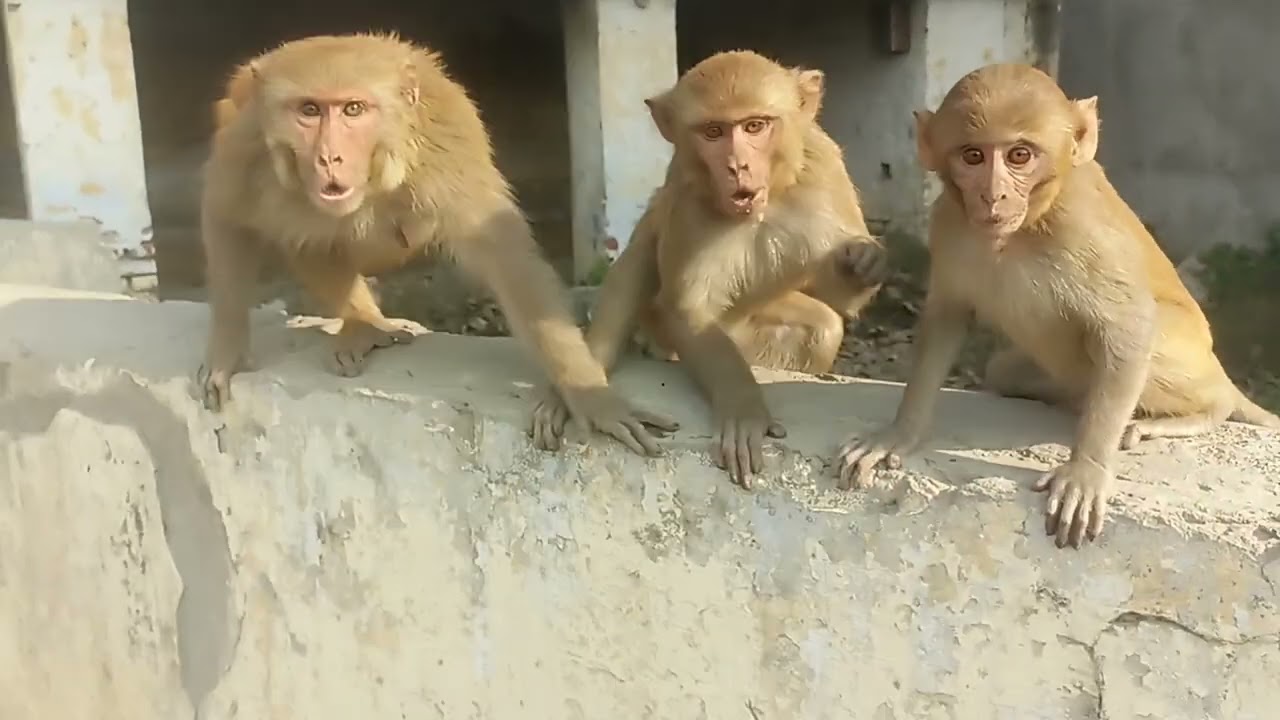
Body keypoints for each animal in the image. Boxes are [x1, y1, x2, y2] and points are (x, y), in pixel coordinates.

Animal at [196, 32, 678, 457]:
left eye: (353, 109)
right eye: (309, 110)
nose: (329, 157)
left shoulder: (443, 155)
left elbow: (508, 262)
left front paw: (589, 394)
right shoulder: (249, 145)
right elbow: (224, 211)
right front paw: (227, 351)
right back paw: (362, 322)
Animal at [529, 50, 890, 488]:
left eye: (755, 126)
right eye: (713, 132)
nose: (737, 166)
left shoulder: (825, 171)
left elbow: (838, 293)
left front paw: (863, 261)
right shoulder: (687, 195)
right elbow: (687, 307)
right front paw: (743, 407)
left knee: (823, 329)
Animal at [835, 63, 1280, 549]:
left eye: (1019, 156)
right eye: (972, 156)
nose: (993, 195)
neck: (1024, 227)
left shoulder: (1083, 227)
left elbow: (1130, 324)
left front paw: (1087, 469)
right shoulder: (948, 223)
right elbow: (947, 315)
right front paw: (899, 433)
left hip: (1190, 357)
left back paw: (1198, 410)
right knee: (1003, 370)